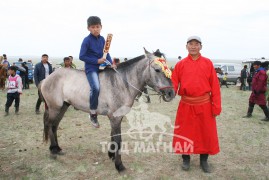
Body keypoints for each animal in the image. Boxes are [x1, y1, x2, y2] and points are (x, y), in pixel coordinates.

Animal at [39, 48, 174, 172]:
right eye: (157, 69)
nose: (171, 93)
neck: (121, 83)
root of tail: (47, 79)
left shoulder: (117, 117)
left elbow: (113, 136)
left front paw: (111, 155)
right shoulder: (115, 117)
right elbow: (118, 140)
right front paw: (119, 165)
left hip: (63, 107)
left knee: (55, 126)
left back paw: (57, 148)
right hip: (55, 108)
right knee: (50, 125)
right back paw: (53, 151)